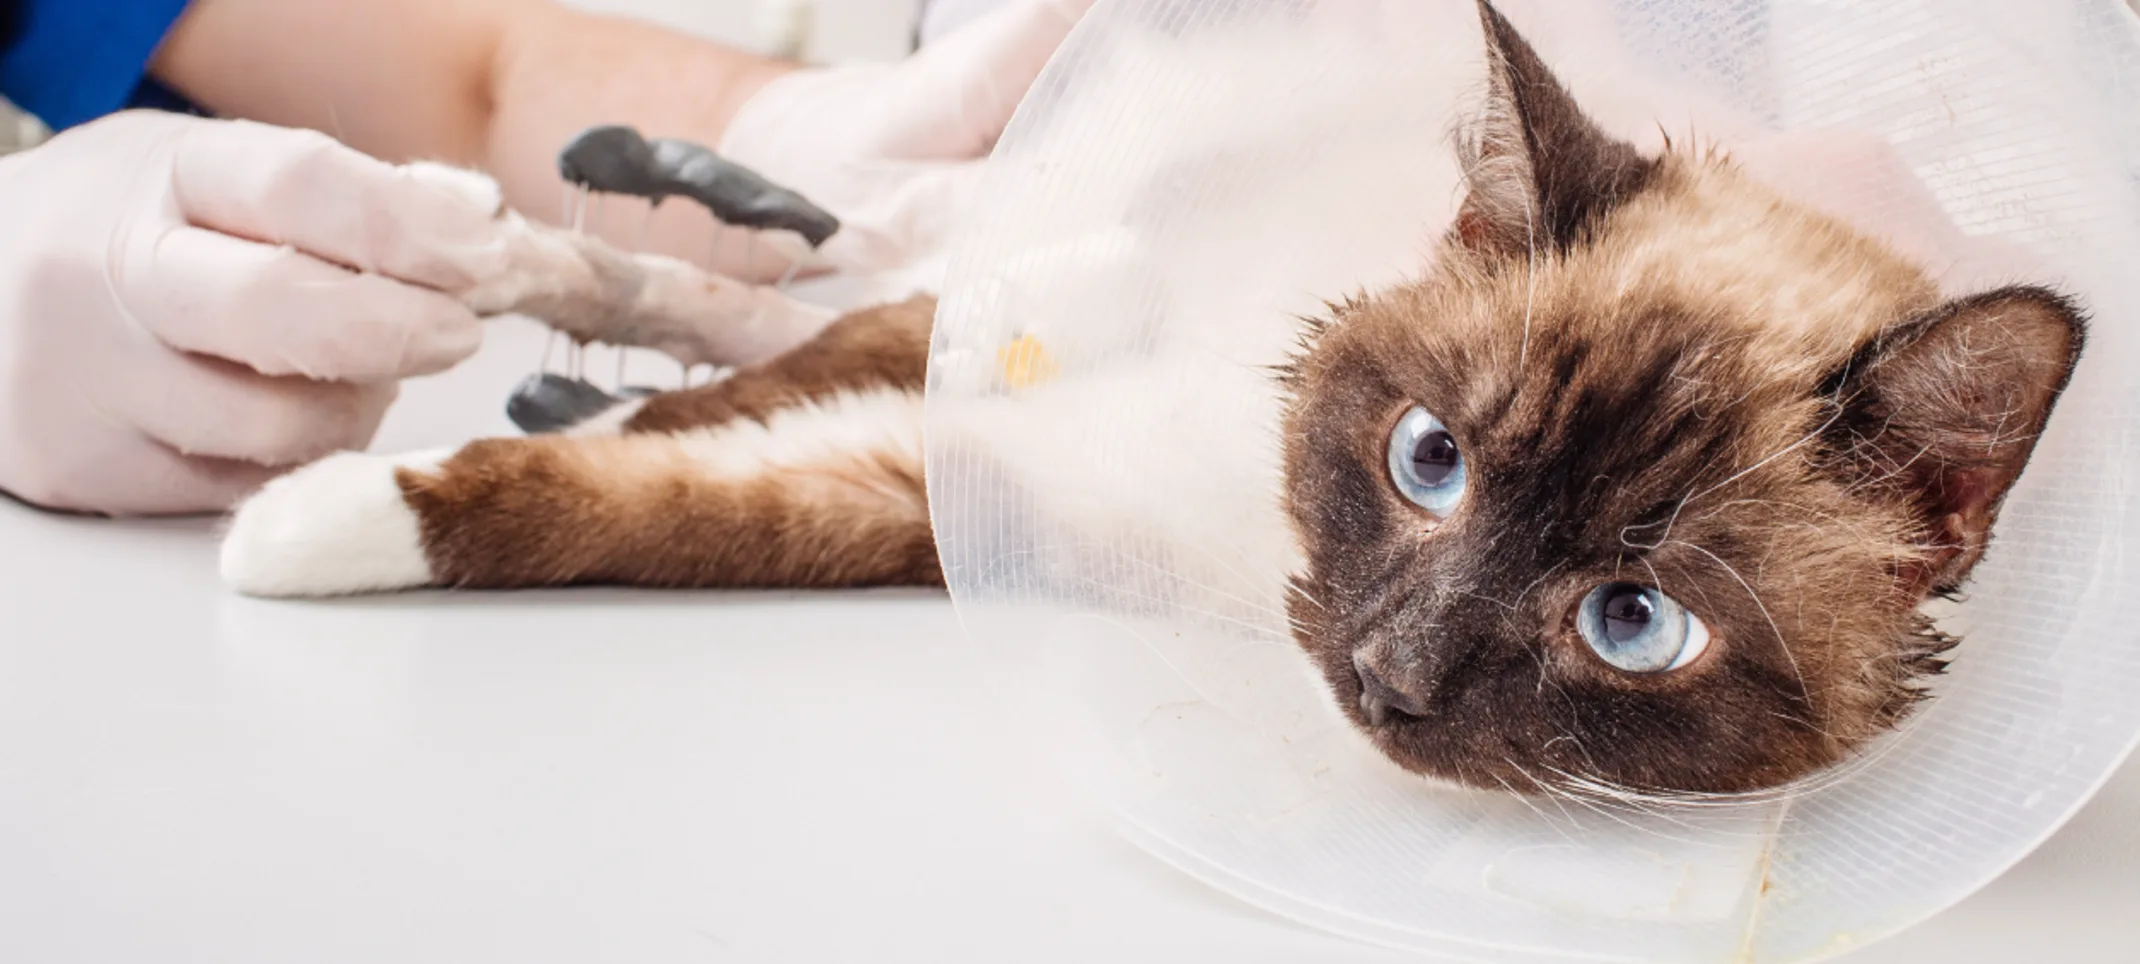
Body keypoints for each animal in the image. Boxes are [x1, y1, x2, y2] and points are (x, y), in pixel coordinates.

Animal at [221, 1, 2088, 796]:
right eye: (1432, 460)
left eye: (1632, 623)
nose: (1392, 675)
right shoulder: (1012, 330)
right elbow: (836, 361)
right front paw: (295, 505)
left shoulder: (951, 505)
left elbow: (692, 508)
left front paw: (313, 519)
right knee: (788, 275)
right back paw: (464, 249)